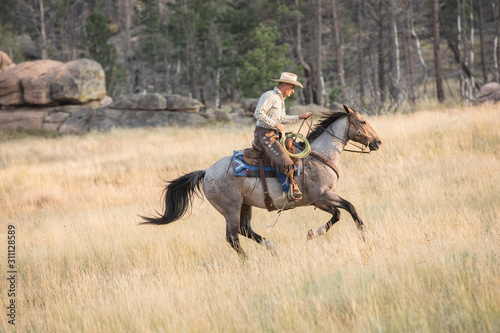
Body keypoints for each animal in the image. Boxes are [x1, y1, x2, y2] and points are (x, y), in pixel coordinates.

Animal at [143, 105, 380, 255]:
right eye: (363, 121)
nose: (377, 142)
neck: (319, 156)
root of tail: (207, 172)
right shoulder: (323, 195)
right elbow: (350, 207)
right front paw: (365, 236)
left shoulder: (317, 200)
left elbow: (337, 214)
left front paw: (313, 233)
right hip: (230, 208)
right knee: (232, 237)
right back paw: (247, 262)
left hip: (245, 206)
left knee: (244, 230)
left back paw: (271, 247)